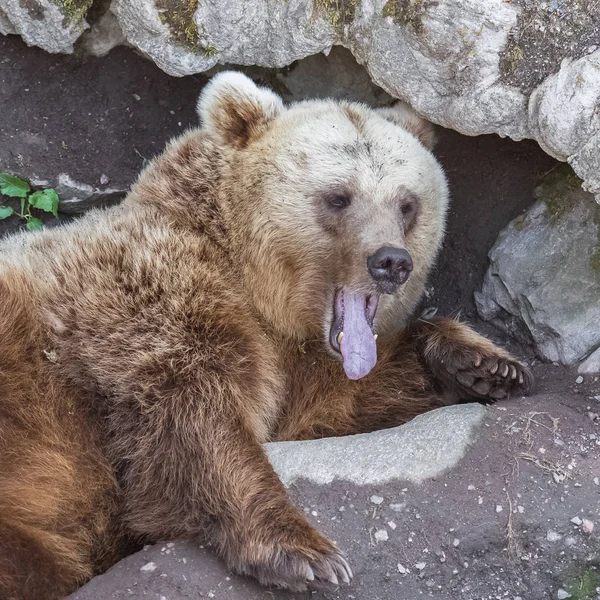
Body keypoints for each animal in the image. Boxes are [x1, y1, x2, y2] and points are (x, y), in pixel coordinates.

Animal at [0, 72, 536, 596]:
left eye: (407, 204)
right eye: (338, 197)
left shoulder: (294, 361)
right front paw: (305, 553)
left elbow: (329, 403)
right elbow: (198, 421)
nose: (390, 262)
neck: (251, 283)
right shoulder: (146, 301)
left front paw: (484, 365)